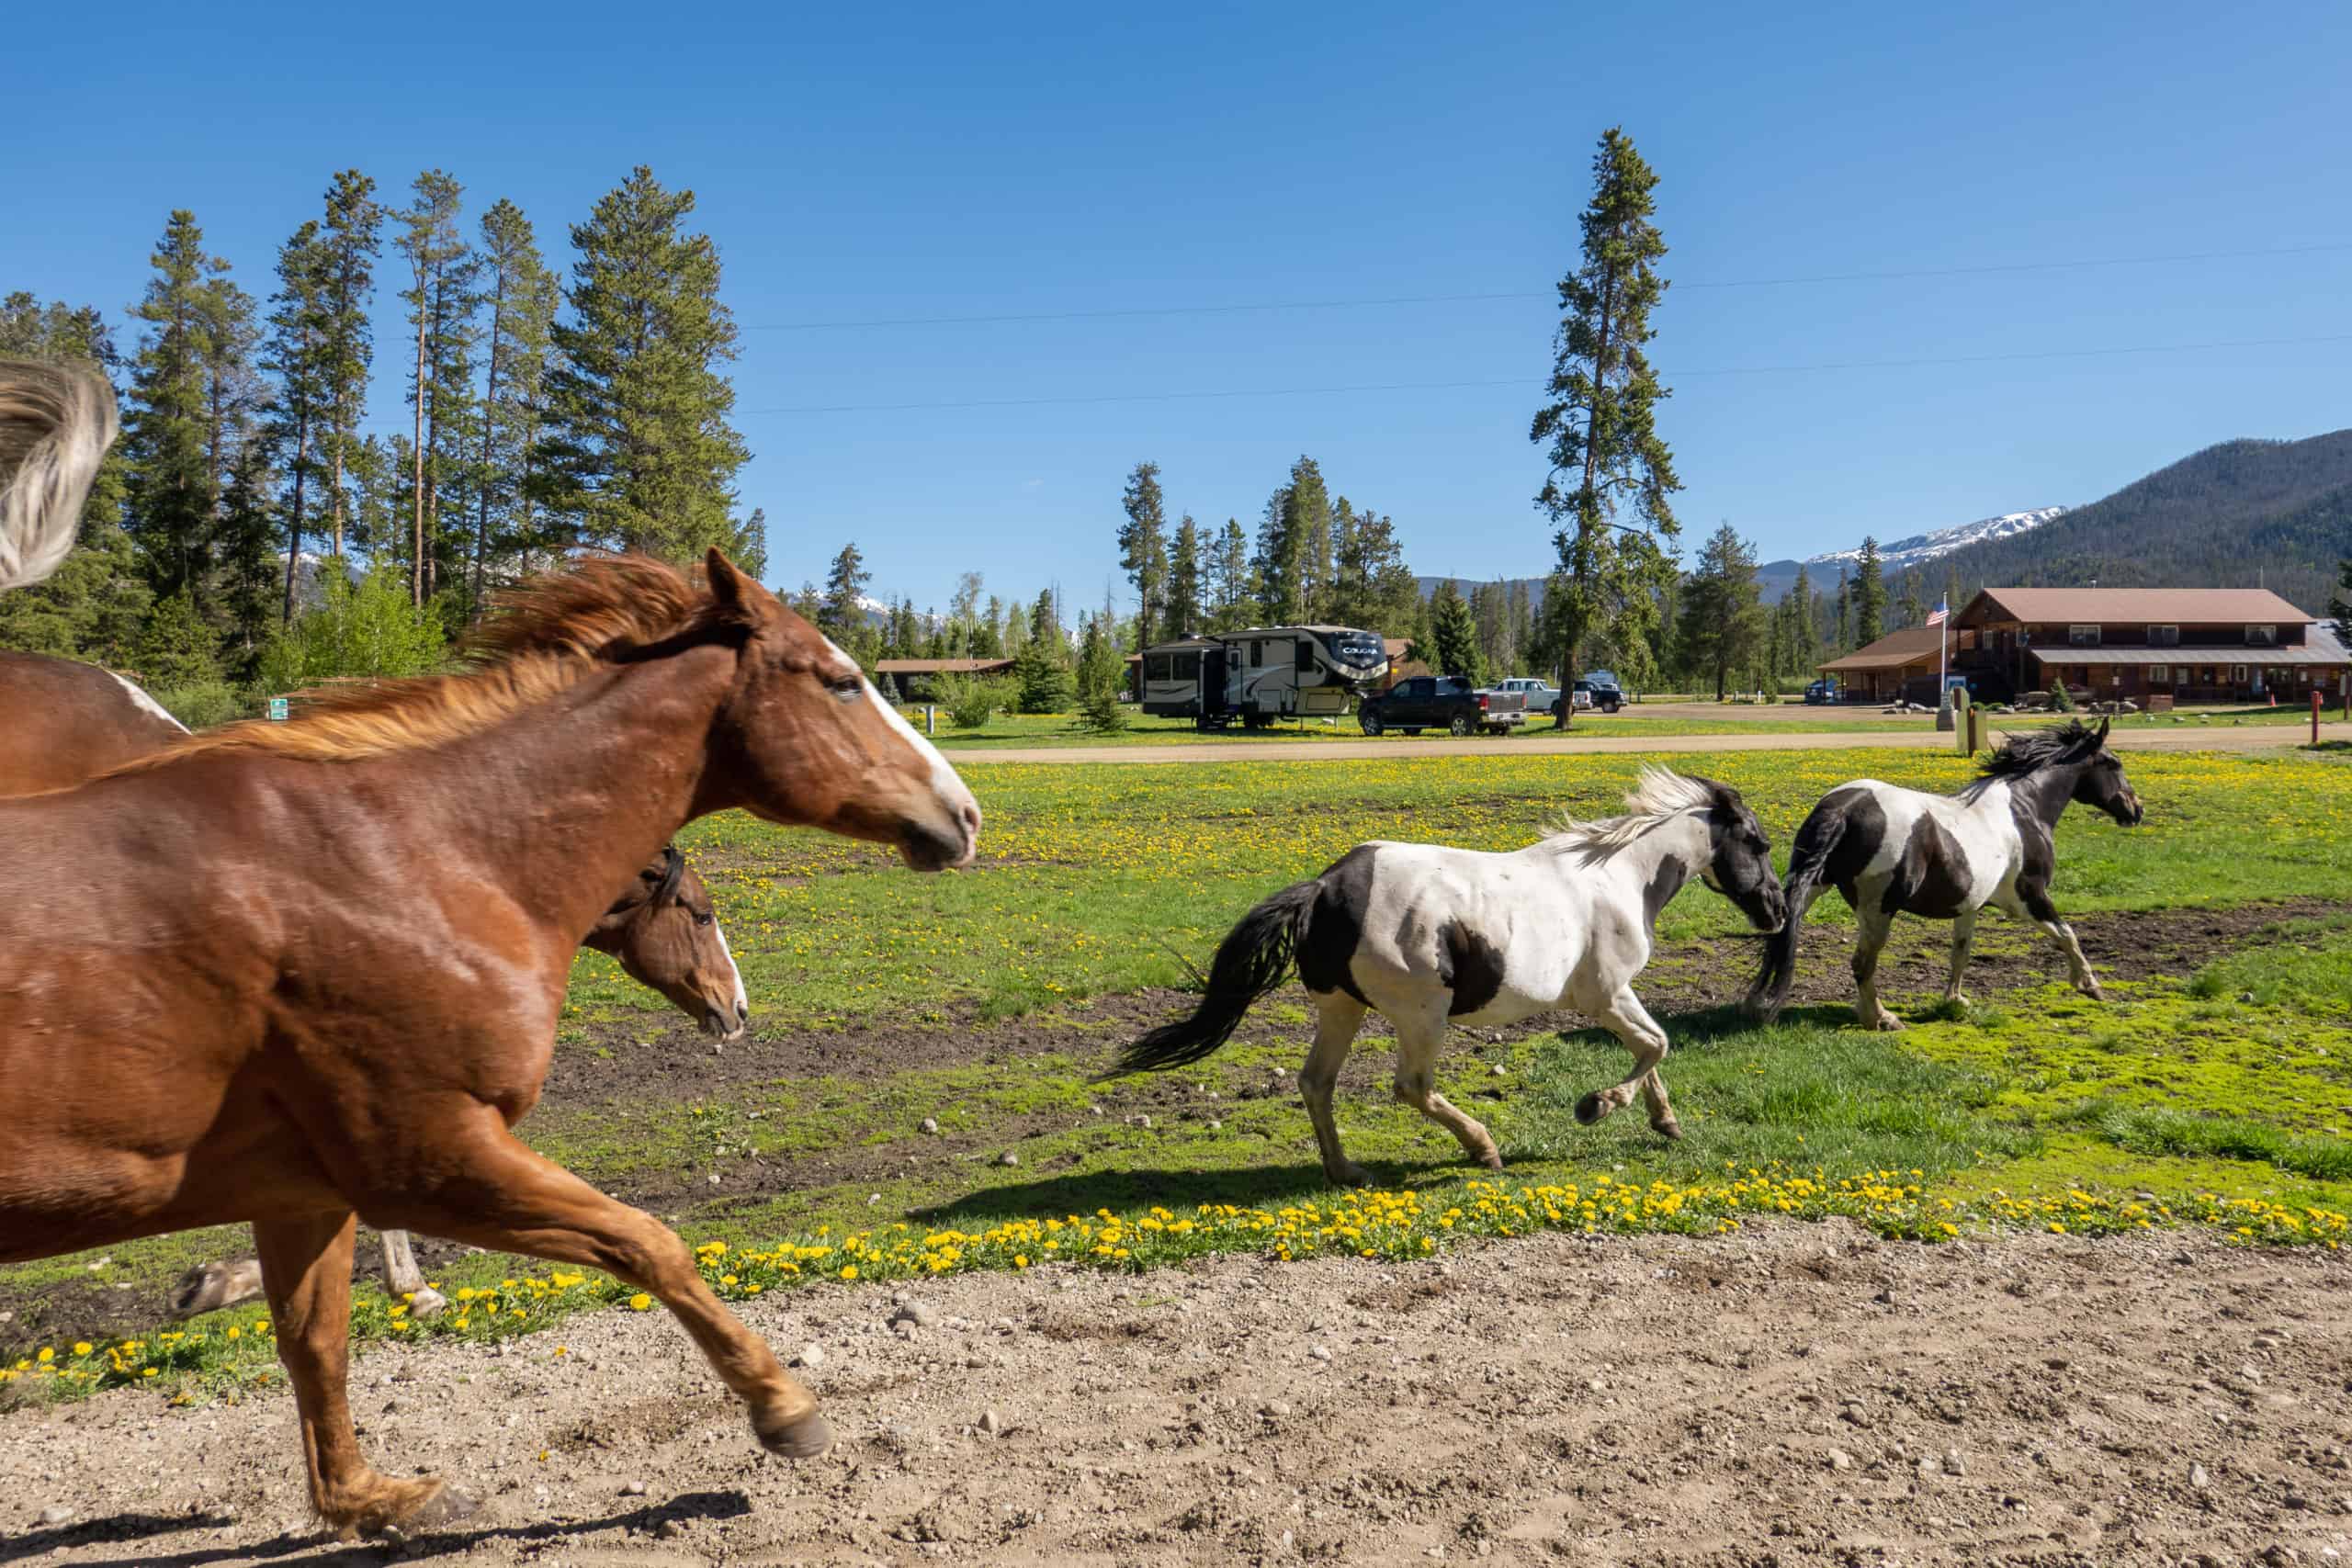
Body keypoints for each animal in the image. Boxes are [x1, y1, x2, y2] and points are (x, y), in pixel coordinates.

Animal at [0, 362, 983, 1541]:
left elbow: (315, 1343)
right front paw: (783, 1407)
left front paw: (373, 1495)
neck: (419, 856)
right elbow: (647, 1241)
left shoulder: (299, 1185)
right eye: (838, 679)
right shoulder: (429, 1156)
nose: (964, 814)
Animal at [1101, 766, 1778, 1184]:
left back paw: (1346, 1171)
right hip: (1422, 1013)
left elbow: (1652, 1046)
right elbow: (1655, 1044)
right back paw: (1483, 1147)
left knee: (1317, 1082)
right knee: (1412, 1086)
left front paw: (1665, 1121)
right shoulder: (1602, 994)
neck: (1617, 876)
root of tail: (1324, 888)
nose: (1775, 910)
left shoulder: (1617, 994)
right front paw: (1596, 1105)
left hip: (1342, 1008)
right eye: (1759, 843)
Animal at [1749, 719, 2154, 1029]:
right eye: (2114, 763)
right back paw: (1880, 1018)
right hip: (1879, 908)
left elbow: (1961, 952)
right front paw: (2090, 985)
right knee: (1863, 963)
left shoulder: (1970, 905)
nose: (2136, 810)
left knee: (1788, 940)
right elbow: (2067, 934)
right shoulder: (2029, 897)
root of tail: (1845, 807)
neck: (2023, 809)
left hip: (1813, 889)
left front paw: (1955, 1001)